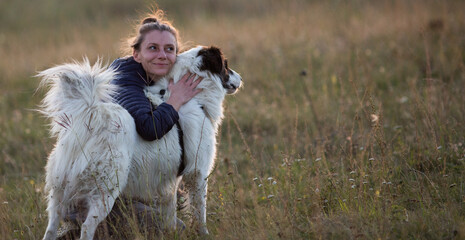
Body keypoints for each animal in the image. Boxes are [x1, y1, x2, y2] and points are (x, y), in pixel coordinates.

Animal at [39, 46, 241, 239]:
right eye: (226, 65)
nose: (240, 78)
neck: (194, 99)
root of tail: (93, 115)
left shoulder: (170, 180)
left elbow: (170, 212)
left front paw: (171, 232)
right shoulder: (197, 172)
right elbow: (200, 211)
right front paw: (203, 233)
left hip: (59, 192)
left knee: (51, 228)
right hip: (104, 191)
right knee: (87, 227)